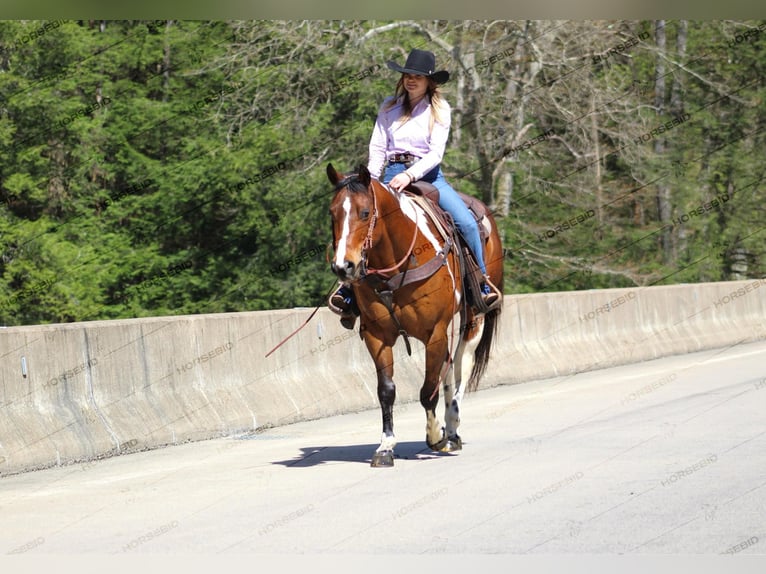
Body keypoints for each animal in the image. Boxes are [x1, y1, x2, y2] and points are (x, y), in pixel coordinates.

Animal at [326, 162, 500, 468]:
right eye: (332, 213)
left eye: (365, 212)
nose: (343, 266)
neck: (397, 263)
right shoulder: (377, 336)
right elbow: (386, 391)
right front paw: (385, 447)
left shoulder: (435, 332)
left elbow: (427, 390)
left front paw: (435, 435)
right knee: (448, 369)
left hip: (473, 319)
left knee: (460, 366)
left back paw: (452, 428)